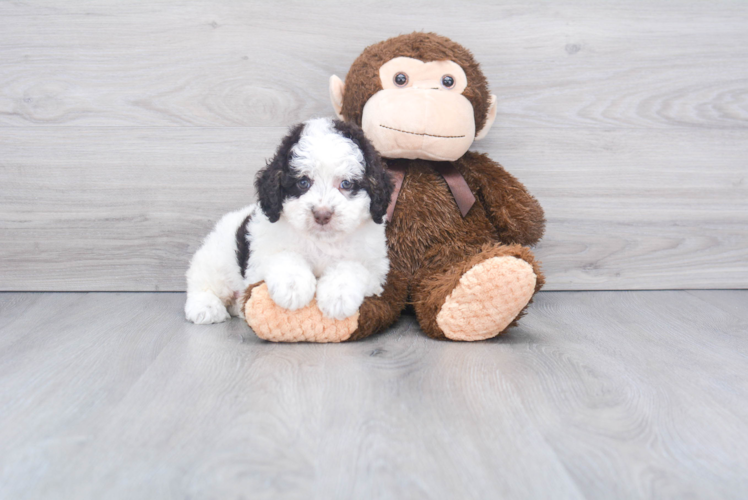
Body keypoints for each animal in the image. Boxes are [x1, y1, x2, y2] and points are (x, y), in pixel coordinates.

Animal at [185, 117, 394, 324]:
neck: (321, 241)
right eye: (303, 183)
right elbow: (285, 256)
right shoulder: (262, 253)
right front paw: (293, 286)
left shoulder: (374, 267)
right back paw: (205, 307)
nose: (322, 214)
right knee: (203, 282)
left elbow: (352, 267)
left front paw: (338, 296)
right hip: (217, 259)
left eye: (346, 184)